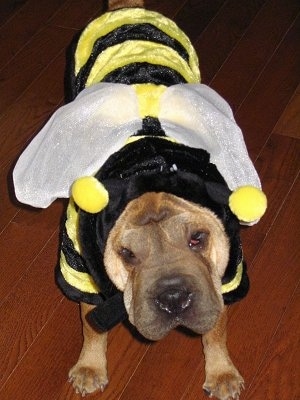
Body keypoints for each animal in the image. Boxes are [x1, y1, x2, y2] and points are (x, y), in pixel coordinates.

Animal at [13, 0, 268, 400]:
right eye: (127, 256)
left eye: (198, 239)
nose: (174, 298)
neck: (151, 168)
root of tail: (129, 9)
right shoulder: (81, 267)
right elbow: (92, 324)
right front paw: (90, 366)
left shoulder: (226, 275)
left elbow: (216, 326)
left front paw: (221, 371)